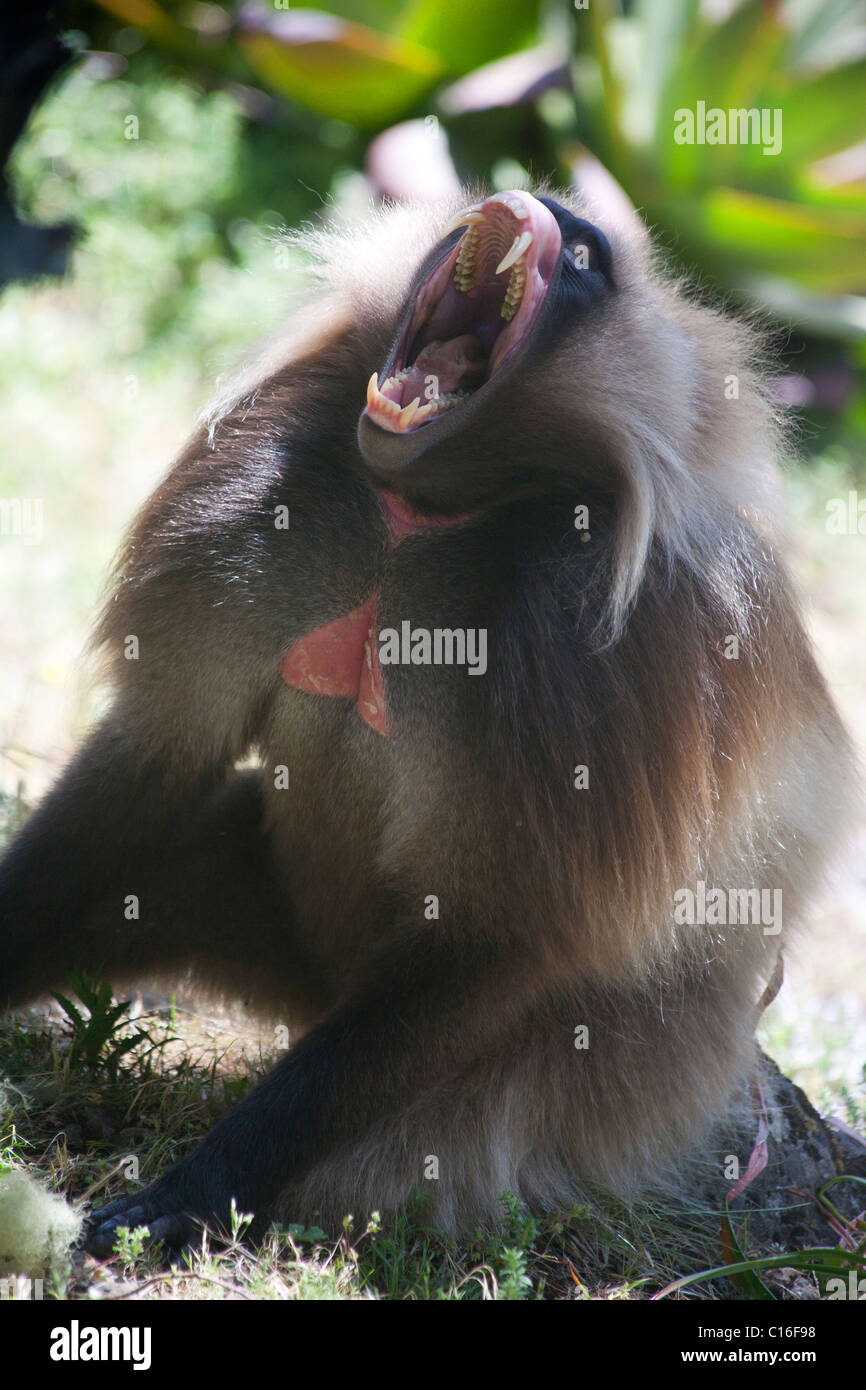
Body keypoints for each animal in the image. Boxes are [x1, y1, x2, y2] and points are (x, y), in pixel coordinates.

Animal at [0, 185, 853, 1253]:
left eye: (587, 257)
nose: (546, 200)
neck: (421, 516)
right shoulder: (258, 504)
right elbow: (155, 758)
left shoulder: (607, 654)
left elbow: (500, 937)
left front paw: (199, 1184)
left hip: (604, 1081)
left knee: (407, 1144)